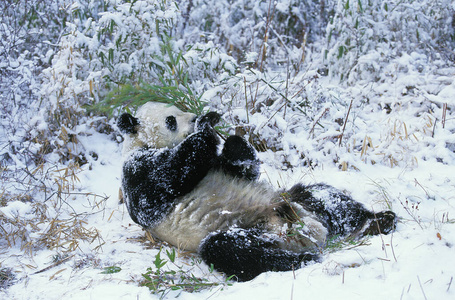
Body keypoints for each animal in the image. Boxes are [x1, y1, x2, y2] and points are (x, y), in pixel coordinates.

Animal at [117, 102, 396, 282]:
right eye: (171, 120)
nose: (196, 118)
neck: (146, 143)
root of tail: (306, 234)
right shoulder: (136, 170)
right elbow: (157, 189)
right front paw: (204, 132)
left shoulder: (219, 165)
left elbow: (243, 170)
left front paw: (228, 137)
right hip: (251, 231)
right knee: (231, 251)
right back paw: (303, 260)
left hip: (295, 202)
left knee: (322, 195)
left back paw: (378, 221)